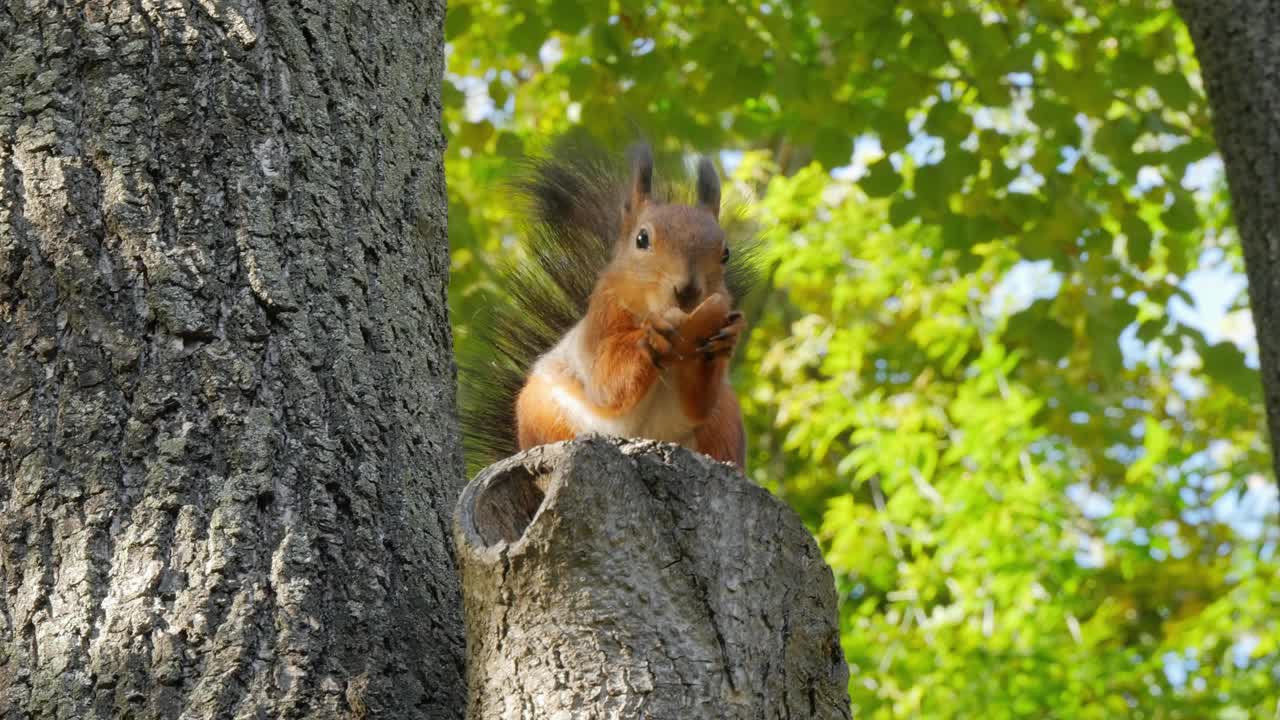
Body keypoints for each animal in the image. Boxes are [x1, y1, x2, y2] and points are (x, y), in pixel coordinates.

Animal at [460, 140, 752, 474]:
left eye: (725, 253)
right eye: (642, 238)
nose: (688, 291)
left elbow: (697, 403)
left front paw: (725, 337)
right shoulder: (600, 320)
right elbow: (606, 378)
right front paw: (650, 338)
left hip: (725, 418)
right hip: (540, 410)